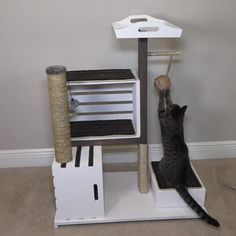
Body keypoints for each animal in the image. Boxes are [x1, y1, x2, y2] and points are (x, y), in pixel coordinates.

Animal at [157, 89, 219, 227]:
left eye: (172, 107)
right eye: (175, 104)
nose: (172, 105)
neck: (177, 121)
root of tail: (180, 181)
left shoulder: (161, 115)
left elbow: (160, 106)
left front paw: (164, 93)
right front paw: (167, 94)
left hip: (162, 163)